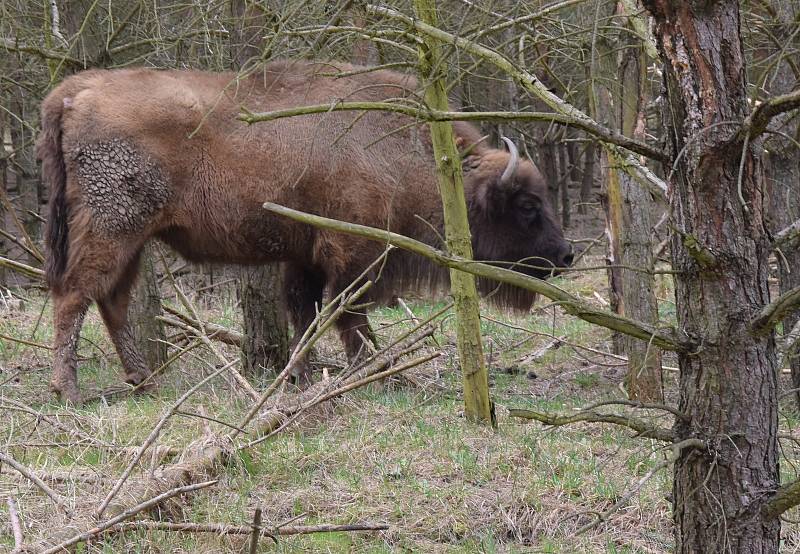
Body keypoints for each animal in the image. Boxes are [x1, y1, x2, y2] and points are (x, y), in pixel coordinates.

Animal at [37, 59, 572, 402]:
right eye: (527, 206)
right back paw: (69, 391)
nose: (565, 255)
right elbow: (346, 312)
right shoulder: (356, 252)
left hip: (132, 239)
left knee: (111, 301)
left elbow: (306, 312)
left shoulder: (306, 256)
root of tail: (74, 92)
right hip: (114, 227)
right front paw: (378, 371)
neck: (415, 155)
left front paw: (302, 377)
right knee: (76, 295)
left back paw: (143, 383)